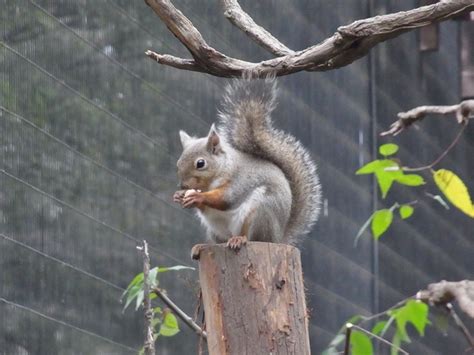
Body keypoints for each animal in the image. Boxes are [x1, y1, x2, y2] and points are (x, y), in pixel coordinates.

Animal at [172, 76, 320, 258]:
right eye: (178, 163)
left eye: (200, 163)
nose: (183, 186)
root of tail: (278, 238)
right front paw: (179, 196)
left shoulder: (240, 180)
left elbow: (226, 198)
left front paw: (197, 197)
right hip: (215, 230)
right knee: (219, 241)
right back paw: (201, 247)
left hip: (261, 213)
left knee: (253, 237)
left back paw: (239, 240)